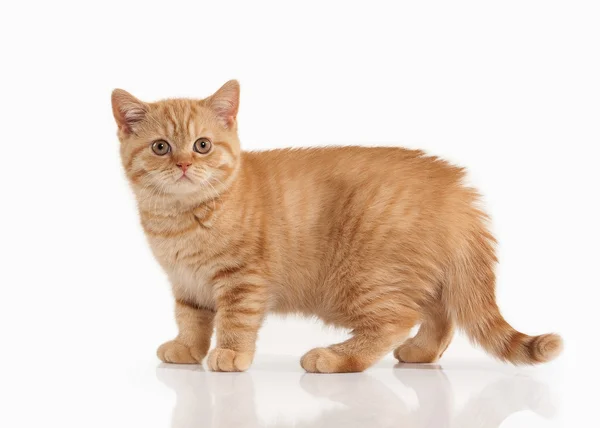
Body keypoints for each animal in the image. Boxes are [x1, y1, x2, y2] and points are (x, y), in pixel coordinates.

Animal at [111, 80, 564, 372]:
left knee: (396, 320)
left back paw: (336, 357)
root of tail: (454, 187)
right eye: (161, 147)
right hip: (423, 276)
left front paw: (229, 354)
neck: (179, 219)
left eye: (202, 145)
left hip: (368, 276)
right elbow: (190, 318)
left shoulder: (243, 279)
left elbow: (235, 320)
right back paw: (421, 353)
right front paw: (188, 349)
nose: (184, 164)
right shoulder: (186, 282)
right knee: (440, 315)